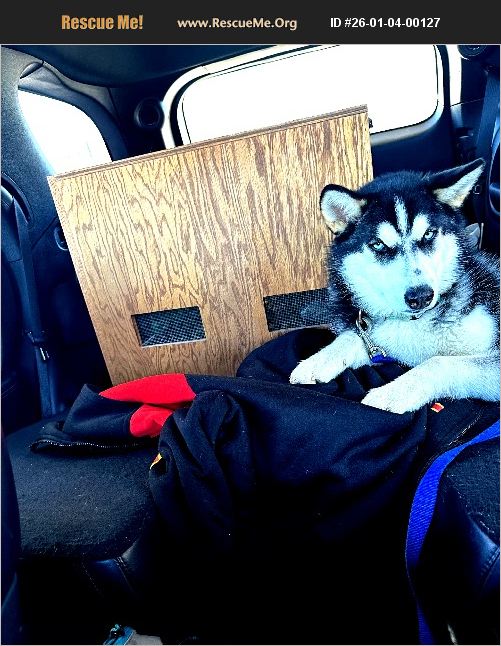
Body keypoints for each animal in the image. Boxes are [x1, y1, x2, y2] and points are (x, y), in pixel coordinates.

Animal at [290, 158, 500, 414]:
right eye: (378, 244)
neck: (415, 322)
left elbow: (438, 362)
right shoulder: (384, 341)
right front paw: (318, 360)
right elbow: (354, 336)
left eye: (429, 234)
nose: (421, 296)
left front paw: (394, 393)